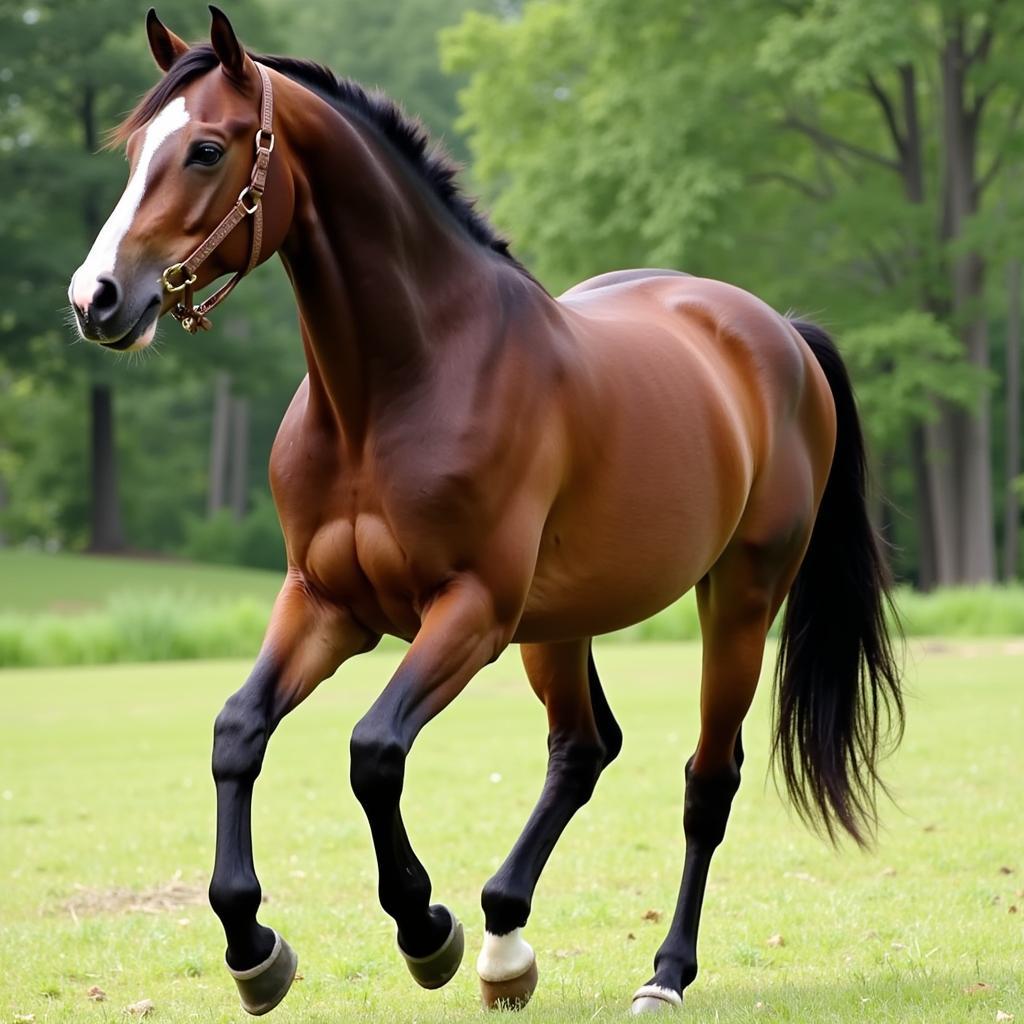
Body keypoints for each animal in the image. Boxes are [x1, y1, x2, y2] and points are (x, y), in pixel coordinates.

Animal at [70, 8, 905, 1015]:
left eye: (204, 148)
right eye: (132, 152)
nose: (97, 298)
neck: (395, 387)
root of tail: (777, 331)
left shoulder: (469, 611)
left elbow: (374, 749)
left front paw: (425, 929)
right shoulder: (325, 604)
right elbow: (238, 732)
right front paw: (253, 946)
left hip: (739, 600)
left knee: (708, 781)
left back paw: (662, 973)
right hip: (563, 622)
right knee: (582, 749)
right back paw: (507, 941)